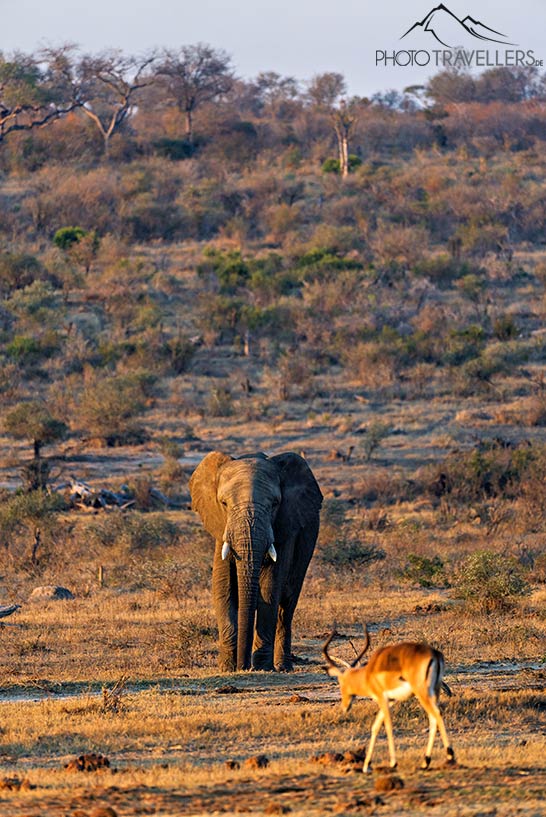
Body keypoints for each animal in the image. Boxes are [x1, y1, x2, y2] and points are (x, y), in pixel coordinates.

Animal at [189, 451, 322, 672]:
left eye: (274, 504)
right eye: (224, 504)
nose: (243, 667)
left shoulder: (285, 528)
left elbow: (270, 588)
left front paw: (261, 667)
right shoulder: (221, 529)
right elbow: (223, 587)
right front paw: (227, 667)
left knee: (287, 604)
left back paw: (283, 667)